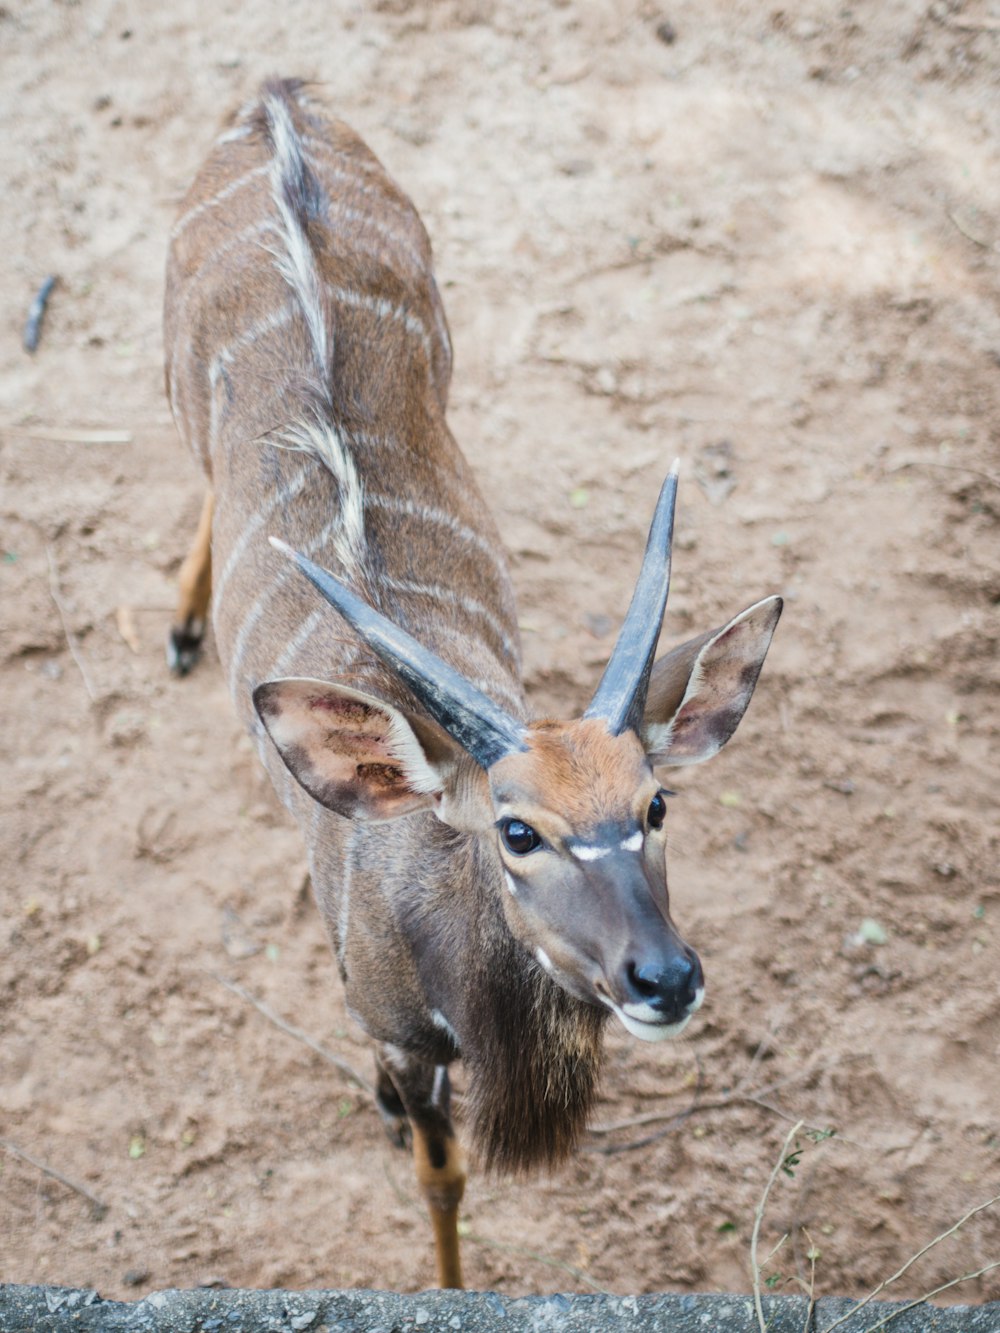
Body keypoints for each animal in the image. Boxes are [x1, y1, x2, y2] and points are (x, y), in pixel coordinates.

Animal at [166, 77, 784, 1285]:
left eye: (655, 805)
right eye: (517, 829)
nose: (663, 978)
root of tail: (275, 98)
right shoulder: (403, 1038)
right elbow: (440, 1174)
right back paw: (178, 625)